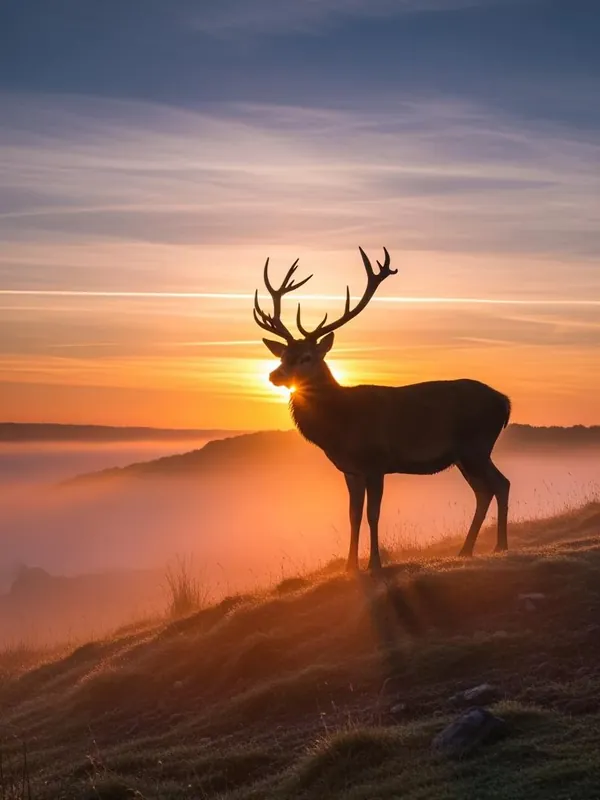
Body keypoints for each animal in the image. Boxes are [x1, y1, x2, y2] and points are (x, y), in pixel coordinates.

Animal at [253, 248, 511, 571]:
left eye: (307, 357)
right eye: (284, 355)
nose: (274, 375)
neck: (340, 427)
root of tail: (505, 402)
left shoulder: (376, 462)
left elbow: (372, 515)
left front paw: (374, 563)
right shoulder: (350, 470)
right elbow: (353, 516)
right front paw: (350, 566)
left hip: (476, 445)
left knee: (500, 484)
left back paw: (500, 546)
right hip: (465, 455)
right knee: (484, 491)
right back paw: (466, 550)